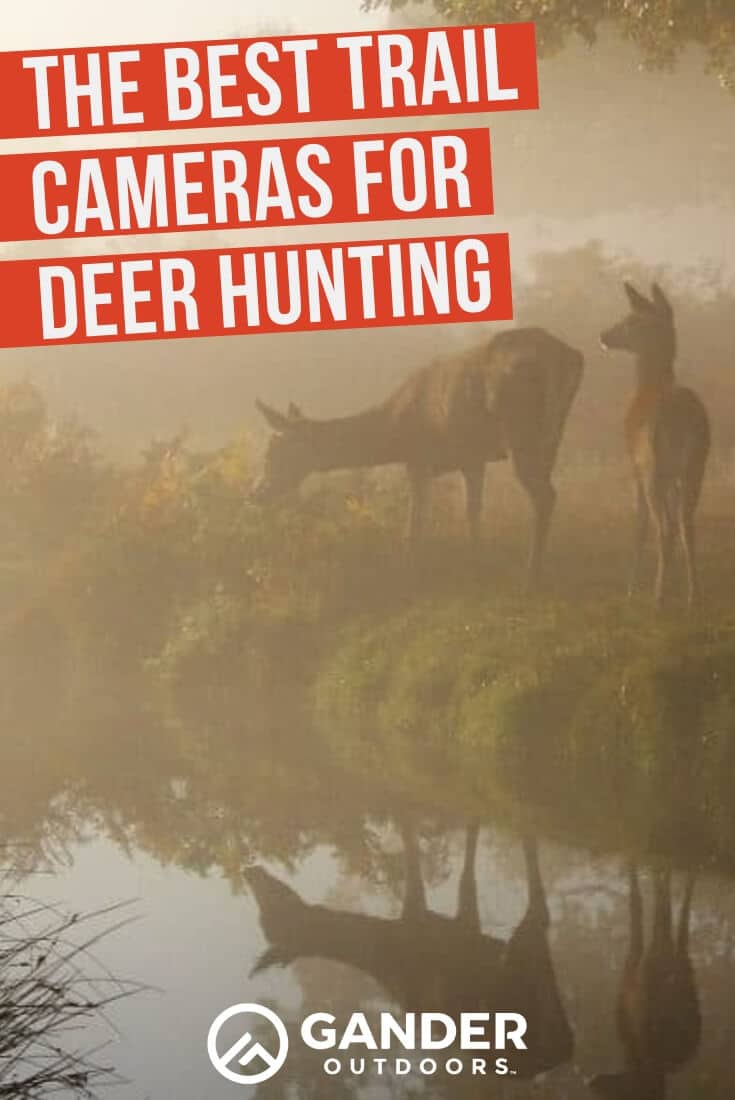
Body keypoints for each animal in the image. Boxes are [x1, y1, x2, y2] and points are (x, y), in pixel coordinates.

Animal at [246, 824, 574, 1080]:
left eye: (276, 905)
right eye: (266, 916)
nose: (250, 869)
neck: (387, 947)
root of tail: (565, 1047)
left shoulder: (440, 925)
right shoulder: (451, 928)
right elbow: (457, 869)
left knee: (539, 911)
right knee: (540, 914)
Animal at [252, 328, 584, 588]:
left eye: (274, 451)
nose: (255, 491)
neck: (395, 432)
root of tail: (568, 357)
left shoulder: (418, 457)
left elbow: (415, 521)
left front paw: (409, 571)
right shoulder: (471, 458)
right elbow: (472, 510)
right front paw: (476, 560)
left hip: (521, 429)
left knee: (544, 496)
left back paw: (531, 576)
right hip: (553, 432)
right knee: (547, 492)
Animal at [600, 283, 710, 608]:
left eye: (631, 320)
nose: (604, 336)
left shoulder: (635, 467)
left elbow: (639, 526)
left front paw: (631, 589)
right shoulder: (672, 476)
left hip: (653, 465)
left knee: (663, 527)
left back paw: (657, 598)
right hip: (696, 465)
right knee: (686, 524)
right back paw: (693, 596)